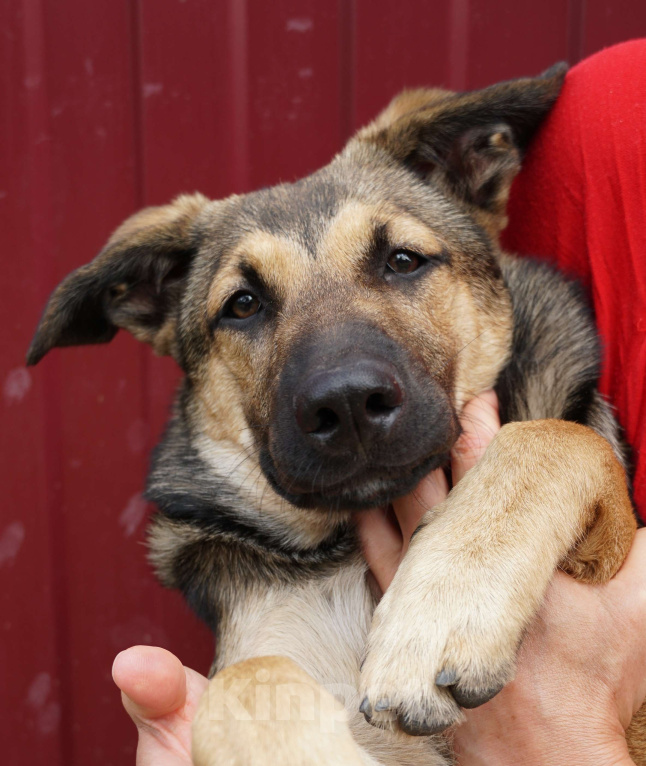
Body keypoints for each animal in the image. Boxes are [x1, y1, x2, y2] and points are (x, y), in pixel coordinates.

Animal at [26, 63, 646, 764]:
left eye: (402, 260)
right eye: (242, 305)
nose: (347, 404)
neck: (345, 549)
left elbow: (550, 438)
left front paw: (436, 616)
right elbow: (244, 679)